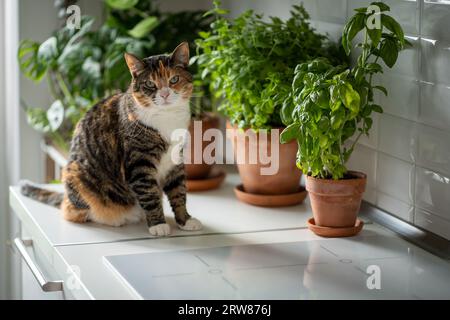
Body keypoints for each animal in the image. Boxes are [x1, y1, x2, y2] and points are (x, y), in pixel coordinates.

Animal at [21, 42, 202, 236]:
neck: (167, 118)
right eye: (149, 83)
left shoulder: (175, 160)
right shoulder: (139, 162)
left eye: (174, 79)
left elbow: (178, 192)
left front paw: (185, 220)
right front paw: (158, 224)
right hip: (77, 178)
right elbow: (149, 194)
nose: (165, 94)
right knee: (71, 212)